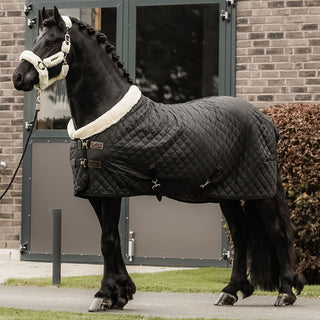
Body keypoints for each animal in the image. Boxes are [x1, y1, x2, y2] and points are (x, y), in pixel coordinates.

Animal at [13, 6, 304, 312]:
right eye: (36, 38)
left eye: (51, 41)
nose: (18, 78)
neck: (105, 113)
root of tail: (266, 120)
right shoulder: (95, 190)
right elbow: (114, 239)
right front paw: (122, 292)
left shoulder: (110, 190)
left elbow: (107, 240)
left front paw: (104, 295)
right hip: (229, 194)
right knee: (240, 233)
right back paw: (230, 291)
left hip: (261, 191)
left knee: (278, 232)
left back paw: (285, 292)